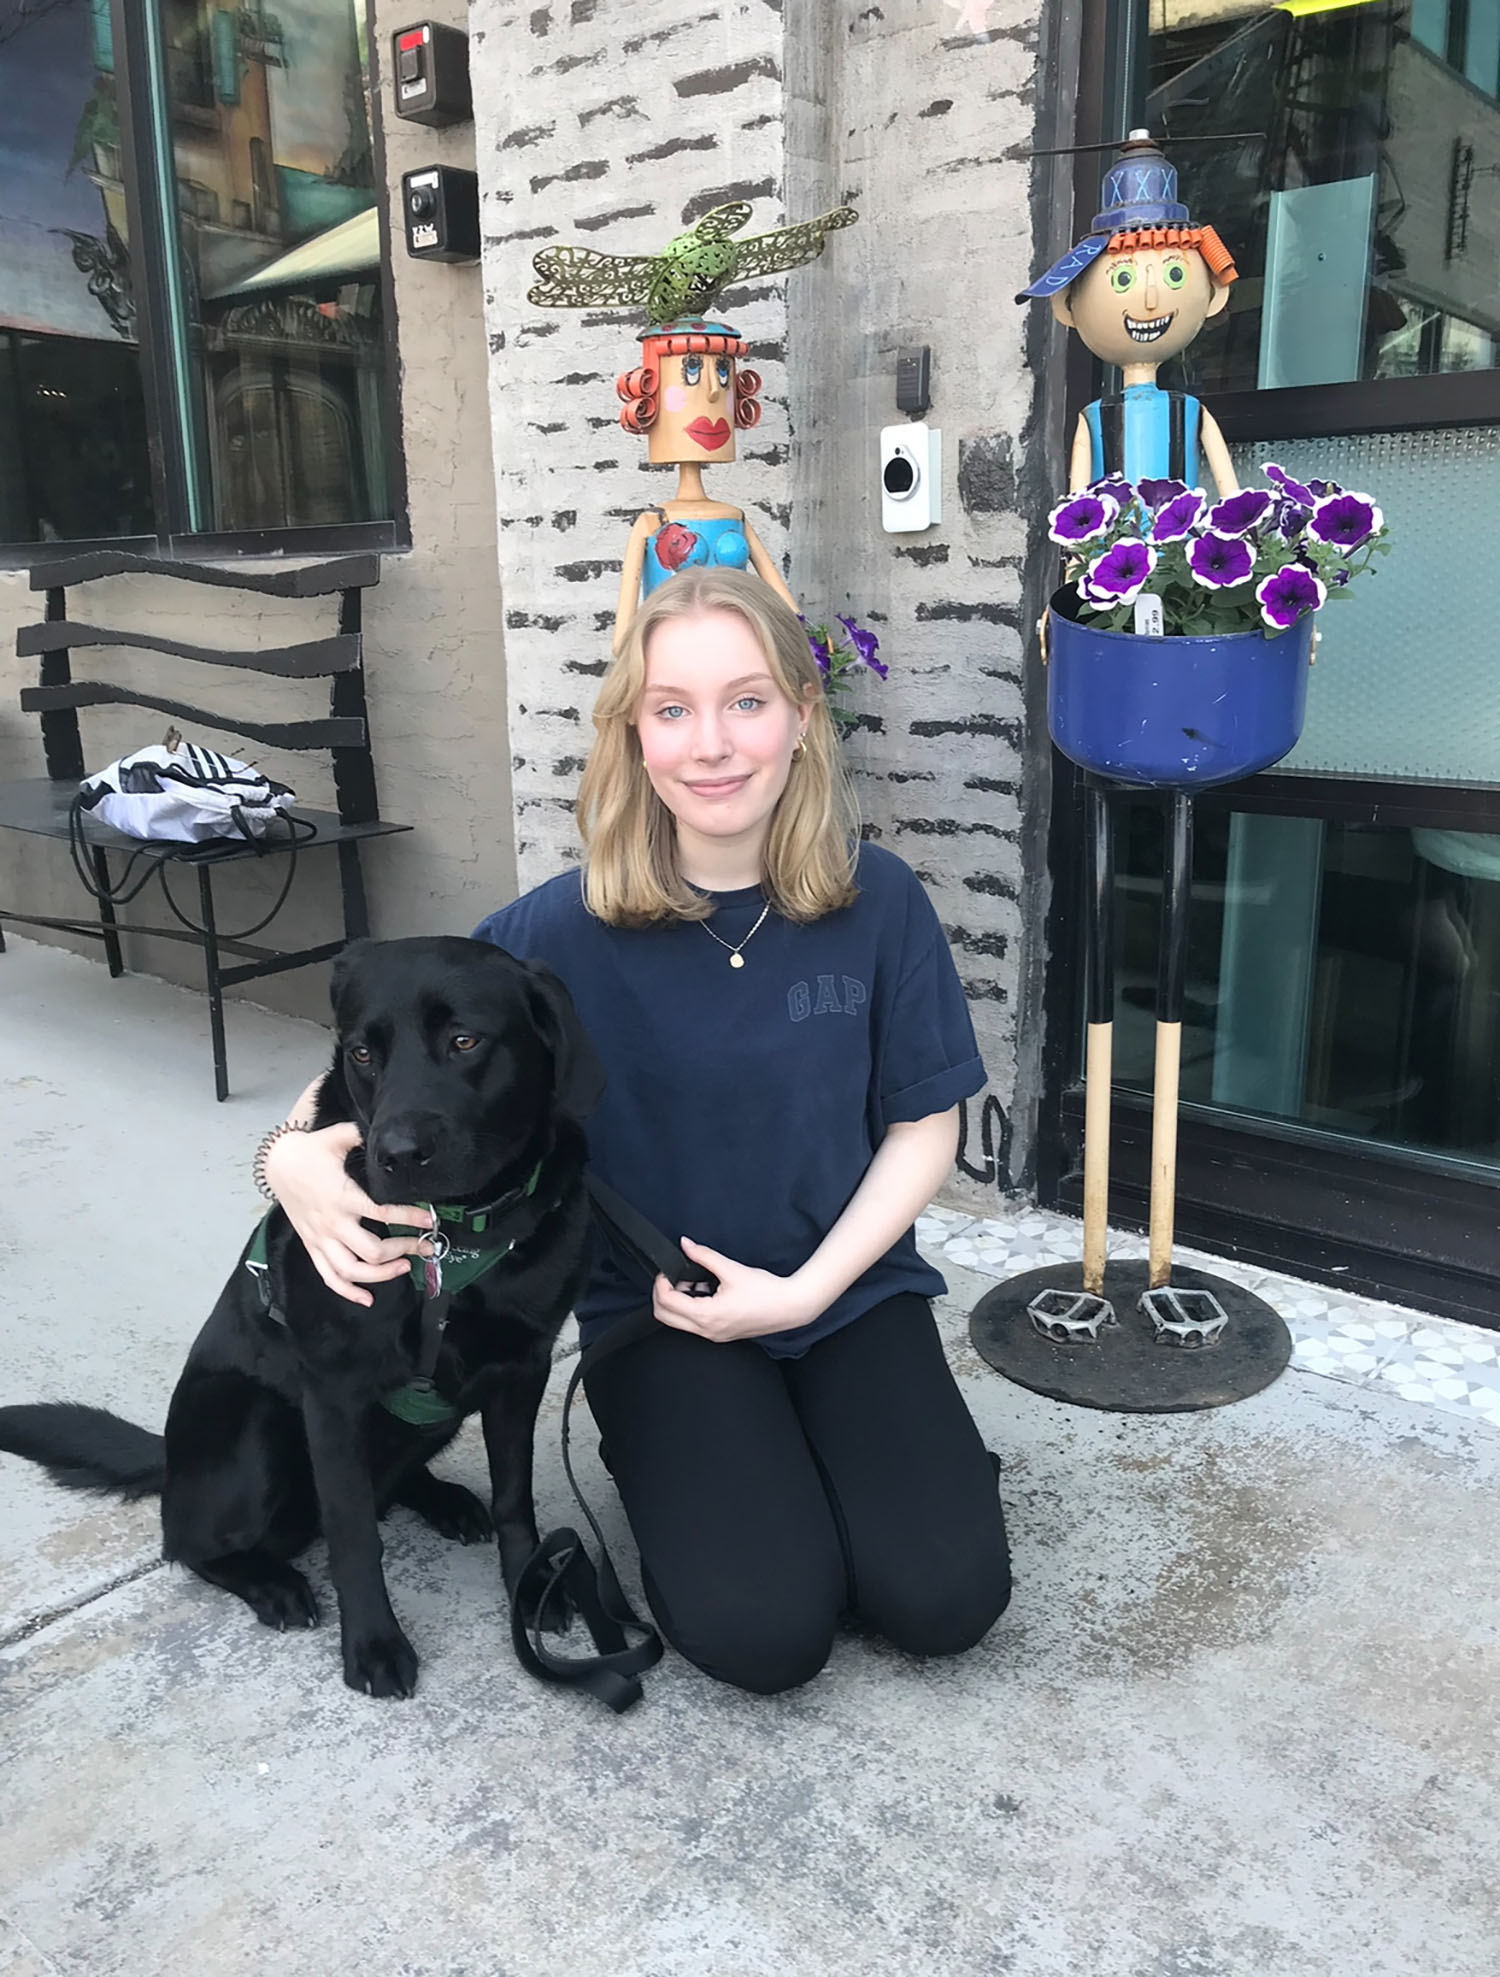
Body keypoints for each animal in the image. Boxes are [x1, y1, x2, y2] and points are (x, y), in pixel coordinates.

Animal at [0, 937, 600, 1700]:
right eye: (363, 1052)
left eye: (464, 1040)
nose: (395, 1156)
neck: (448, 1237)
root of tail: (170, 1458)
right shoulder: (334, 1393)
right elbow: (352, 1532)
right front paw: (373, 1645)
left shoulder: (521, 1370)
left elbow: (514, 1498)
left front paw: (528, 1587)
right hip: (252, 1430)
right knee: (187, 1542)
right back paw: (271, 1582)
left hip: (433, 1418)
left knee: (393, 1481)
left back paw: (442, 1500)